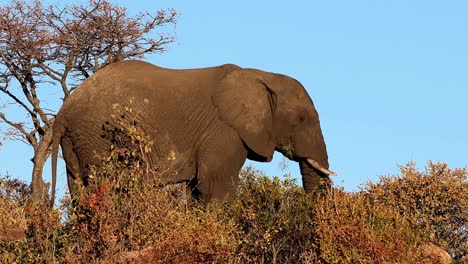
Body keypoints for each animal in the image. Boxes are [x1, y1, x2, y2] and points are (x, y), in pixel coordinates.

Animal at [50, 59, 336, 203]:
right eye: (301, 119)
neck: (260, 76)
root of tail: (63, 112)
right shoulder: (224, 131)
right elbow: (214, 186)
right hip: (100, 136)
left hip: (79, 142)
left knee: (80, 193)